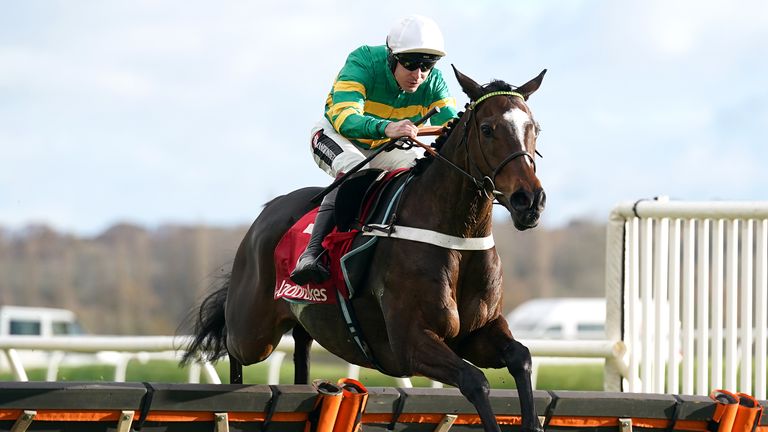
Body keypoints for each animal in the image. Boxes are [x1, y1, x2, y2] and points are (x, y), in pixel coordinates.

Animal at [182, 66, 544, 432]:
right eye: (487, 129)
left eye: (535, 128)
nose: (529, 200)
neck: (457, 238)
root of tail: (267, 211)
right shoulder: (411, 342)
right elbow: (475, 380)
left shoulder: (476, 332)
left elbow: (522, 358)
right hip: (252, 333)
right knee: (234, 348)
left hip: (301, 320)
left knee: (300, 352)